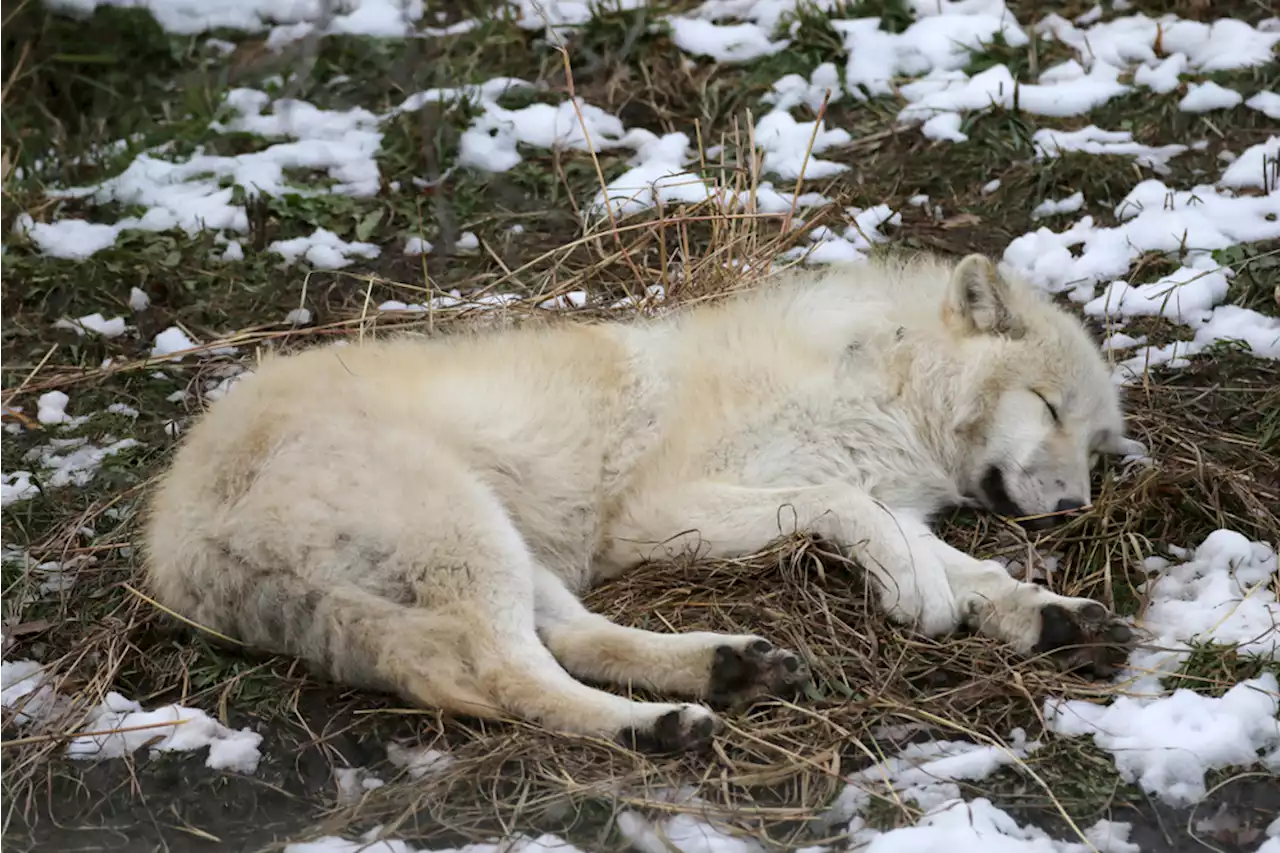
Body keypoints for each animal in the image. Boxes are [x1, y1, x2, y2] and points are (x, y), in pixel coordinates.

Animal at [145, 251, 1146, 753]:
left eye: (1096, 448)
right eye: (1048, 408)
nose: (1069, 507)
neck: (884, 384)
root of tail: (171, 541)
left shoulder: (887, 504)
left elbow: (960, 564)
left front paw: (1045, 611)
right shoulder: (665, 511)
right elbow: (852, 510)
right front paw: (926, 600)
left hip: (507, 551)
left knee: (569, 639)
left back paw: (725, 668)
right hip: (469, 532)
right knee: (502, 672)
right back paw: (661, 726)